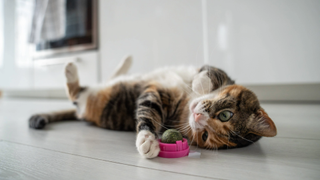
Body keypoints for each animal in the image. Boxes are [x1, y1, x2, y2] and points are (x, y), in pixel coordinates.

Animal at [28, 56, 276, 158]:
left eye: (205, 136)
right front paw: (199, 83)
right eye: (226, 114)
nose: (198, 118)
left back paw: (71, 71)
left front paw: (147, 141)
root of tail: (82, 115)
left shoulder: (160, 100)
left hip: (89, 100)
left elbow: (148, 111)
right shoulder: (218, 73)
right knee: (107, 79)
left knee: (76, 92)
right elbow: (212, 71)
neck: (186, 101)